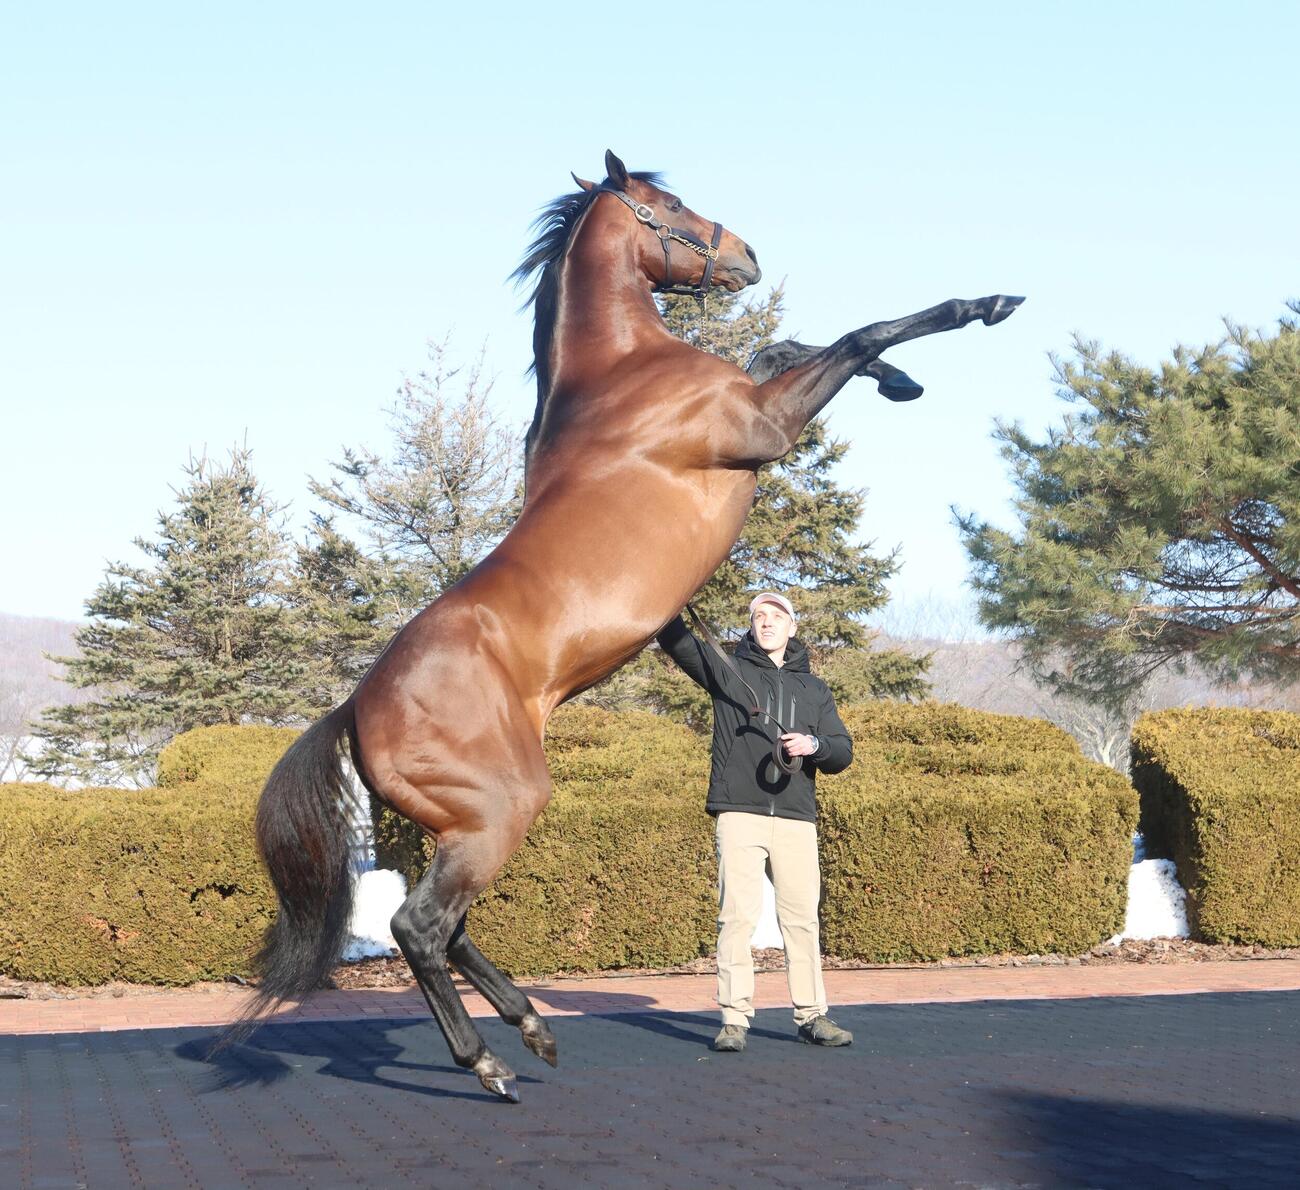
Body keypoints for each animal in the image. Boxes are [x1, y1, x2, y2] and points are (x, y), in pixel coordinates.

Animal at [223, 150, 1021, 1102]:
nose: (746, 255)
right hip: (498, 812)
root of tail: (357, 709)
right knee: (419, 927)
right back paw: (489, 1061)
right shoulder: (765, 425)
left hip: (448, 830)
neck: (621, 377)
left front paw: (903, 380)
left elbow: (788, 346)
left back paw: (532, 1028)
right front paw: (983, 307)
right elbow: (863, 334)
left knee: (446, 927)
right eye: (668, 205)